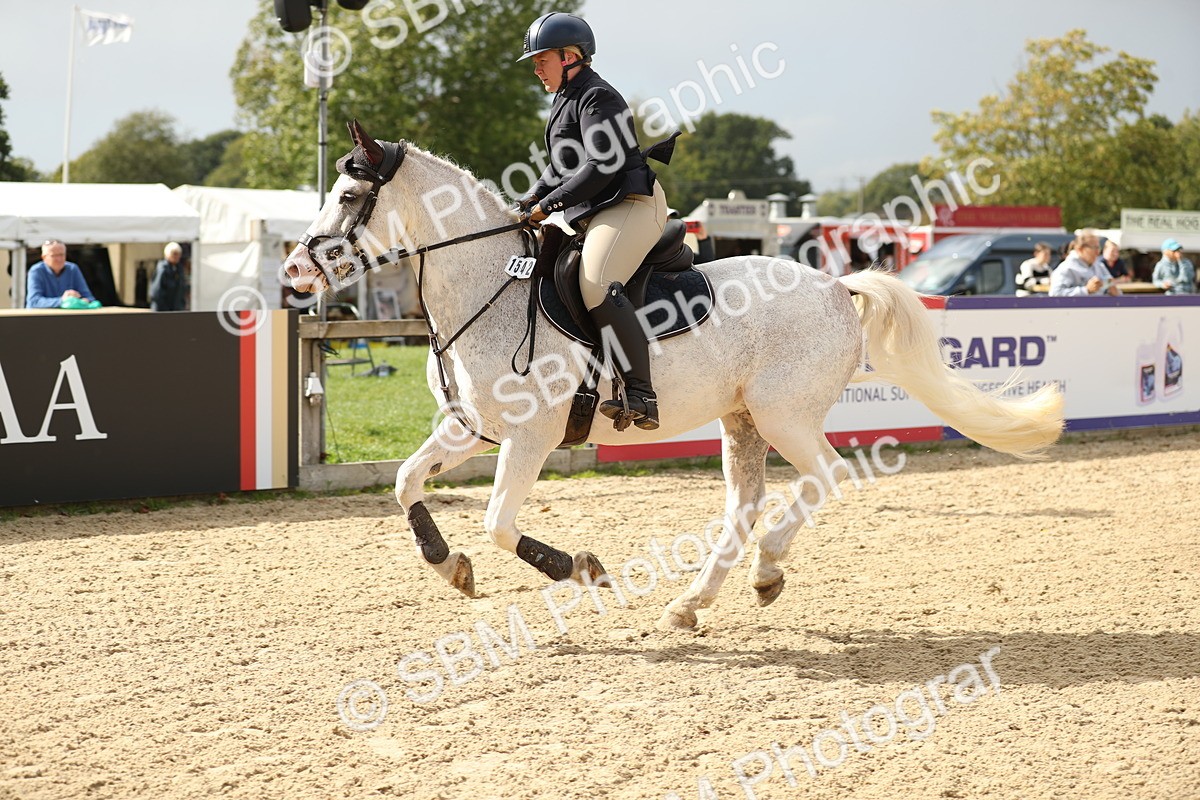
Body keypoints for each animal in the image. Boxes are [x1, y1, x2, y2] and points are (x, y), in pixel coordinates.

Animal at [283, 122, 1064, 631]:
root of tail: (837, 286)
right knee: (745, 504)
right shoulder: (472, 427)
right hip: (742, 420)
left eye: (348, 198)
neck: (491, 286)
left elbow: (501, 522)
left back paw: (766, 570)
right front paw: (451, 565)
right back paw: (693, 603)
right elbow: (405, 481)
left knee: (826, 476)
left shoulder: (531, 436)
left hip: (784, 414)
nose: (294, 273)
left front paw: (580, 568)